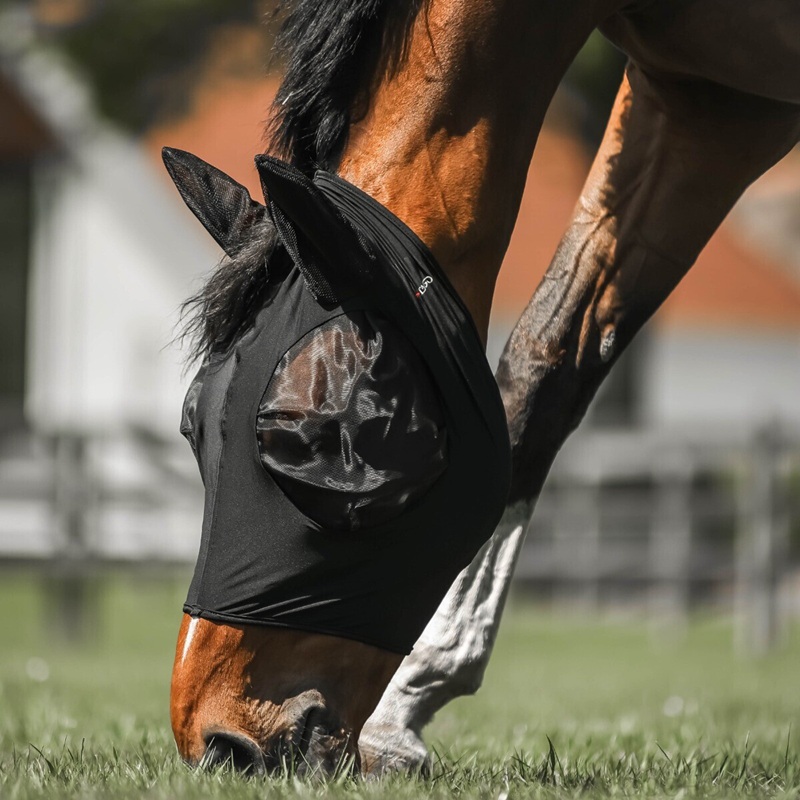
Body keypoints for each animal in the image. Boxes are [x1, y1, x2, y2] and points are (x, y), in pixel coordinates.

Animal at [167, 0, 800, 777]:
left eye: (313, 439)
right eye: (193, 426)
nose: (219, 743)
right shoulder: (704, 102)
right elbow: (541, 369)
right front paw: (404, 709)